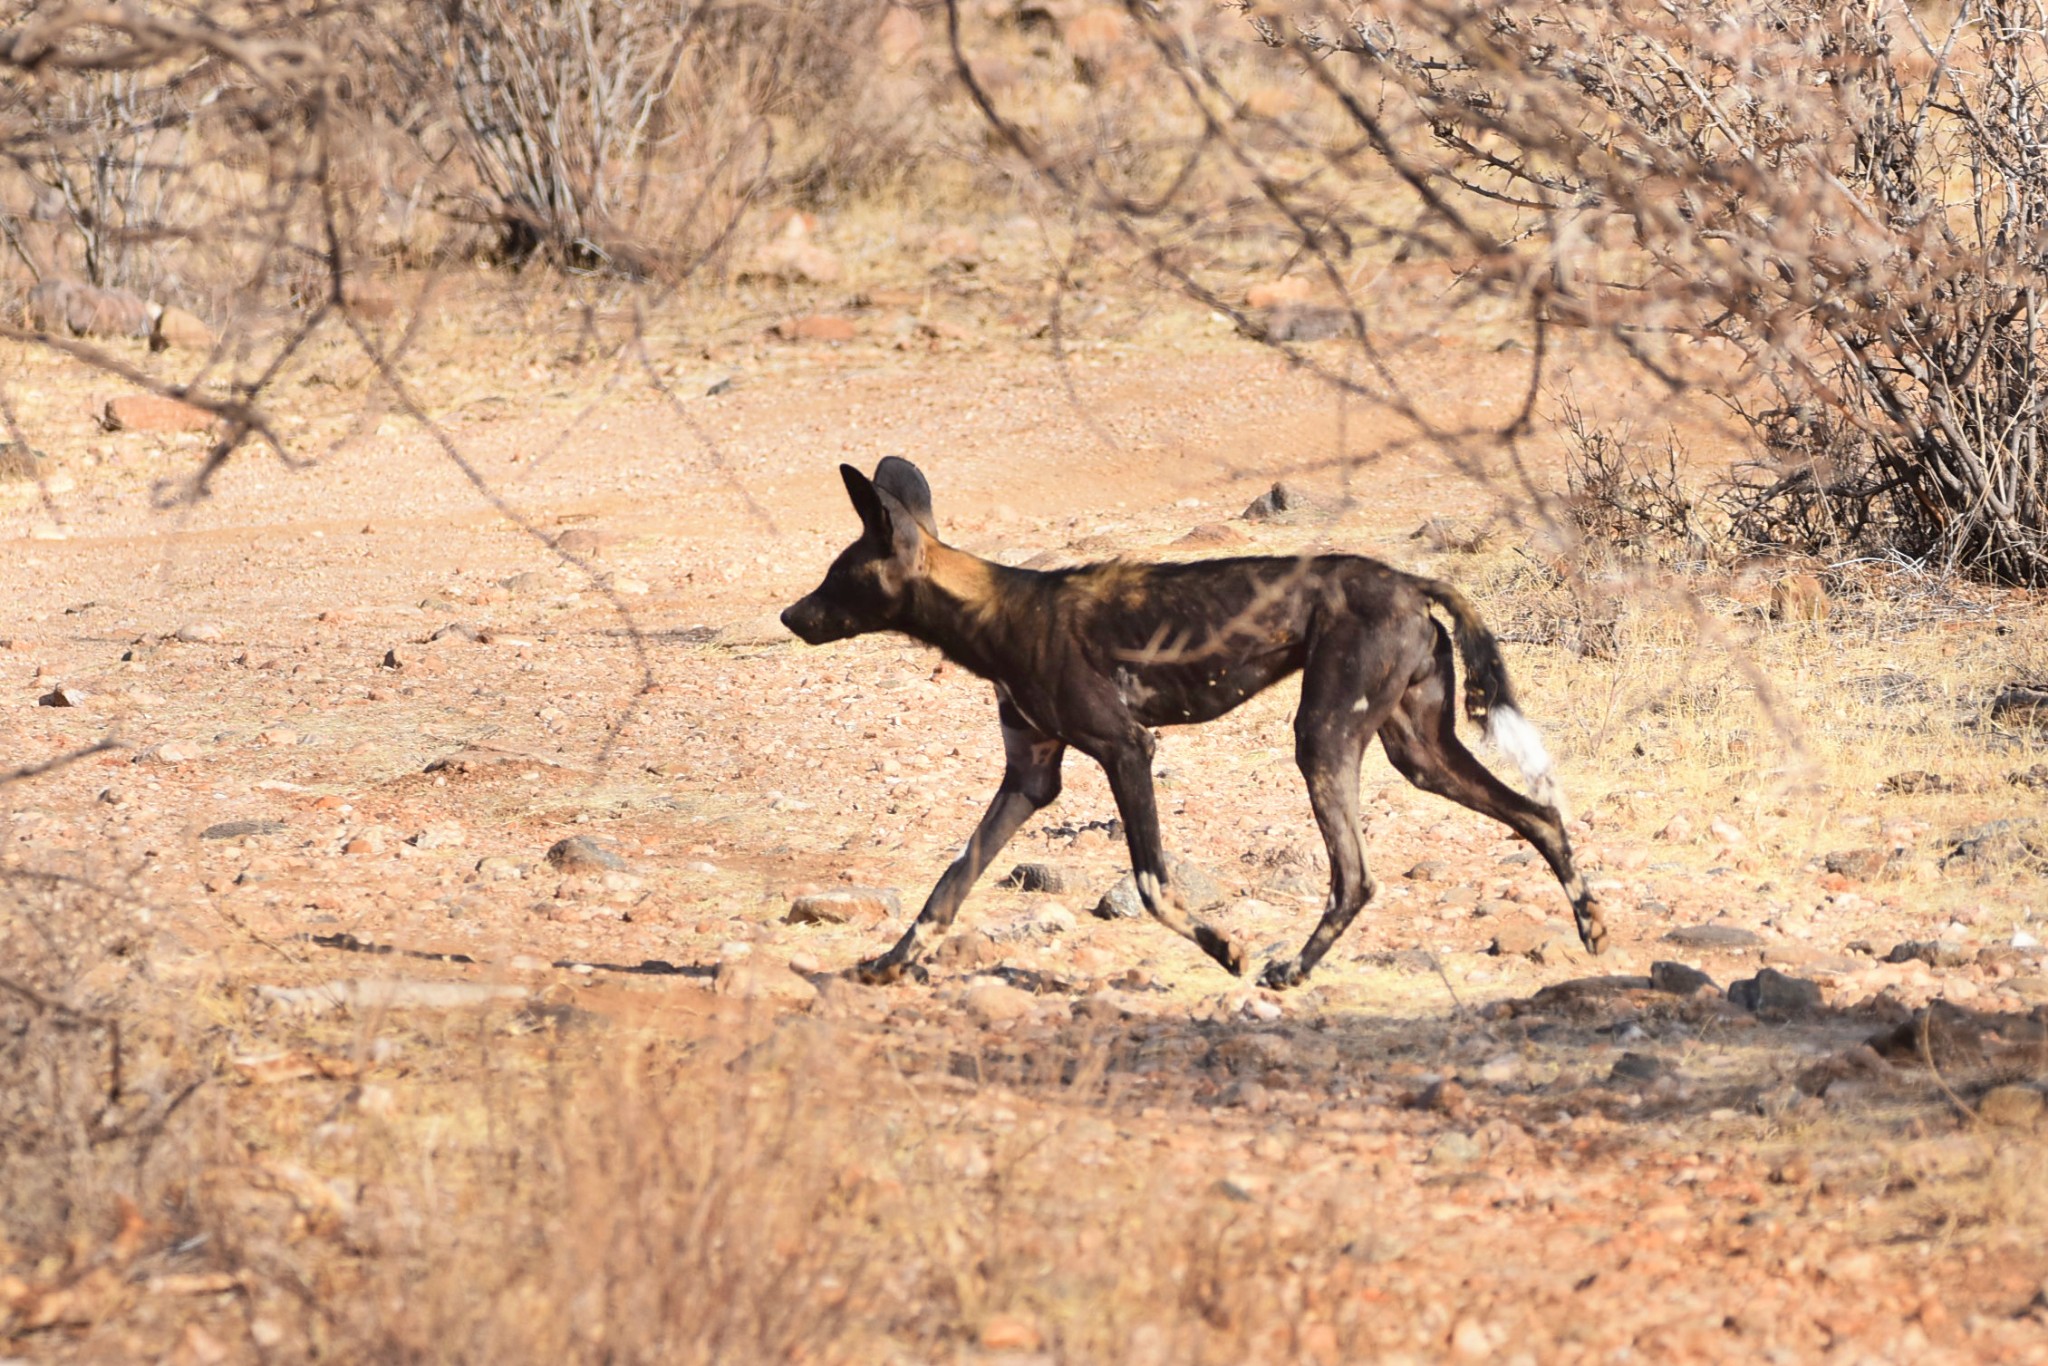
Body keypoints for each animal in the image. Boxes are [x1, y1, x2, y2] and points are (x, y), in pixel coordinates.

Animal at [774, 464, 1605, 987]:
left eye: (837, 577)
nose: (789, 615)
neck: (994, 615)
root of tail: (1405, 577)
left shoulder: (1125, 750)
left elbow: (1152, 884)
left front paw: (1227, 950)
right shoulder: (1030, 779)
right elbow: (950, 883)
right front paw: (888, 965)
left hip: (1322, 740)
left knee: (1356, 877)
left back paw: (1288, 973)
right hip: (1419, 752)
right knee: (1538, 815)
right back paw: (1591, 923)